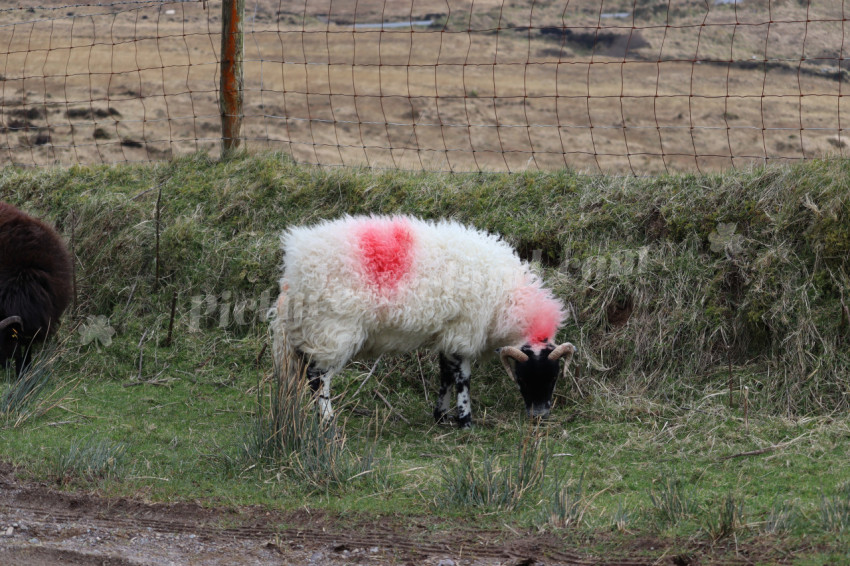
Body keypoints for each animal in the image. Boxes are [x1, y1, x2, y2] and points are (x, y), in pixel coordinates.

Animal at [271, 214, 575, 428]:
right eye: (523, 376)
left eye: (554, 376)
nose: (539, 415)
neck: (507, 298)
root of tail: (295, 263)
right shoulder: (464, 330)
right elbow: (463, 379)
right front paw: (465, 420)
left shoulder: (449, 333)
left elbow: (446, 376)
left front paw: (441, 416)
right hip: (331, 328)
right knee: (317, 378)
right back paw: (326, 420)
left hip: (307, 330)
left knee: (300, 372)